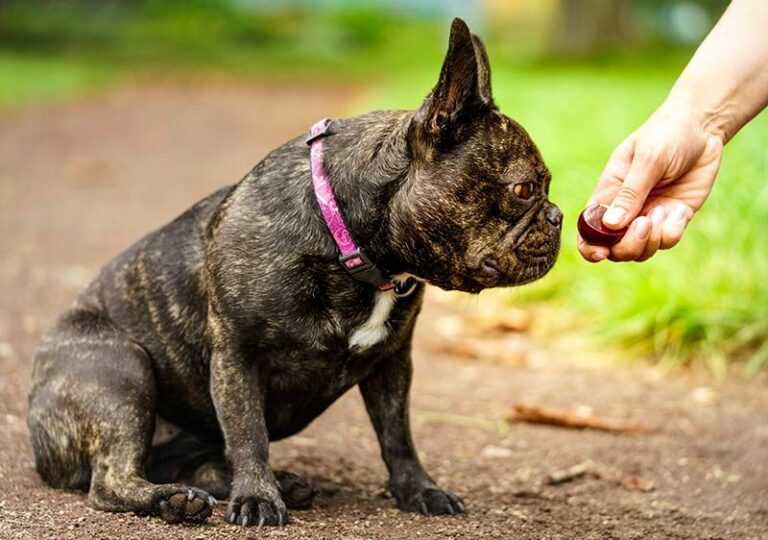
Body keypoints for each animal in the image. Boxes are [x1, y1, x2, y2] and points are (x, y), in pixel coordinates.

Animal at [27, 17, 560, 528]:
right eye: (524, 190)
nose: (557, 216)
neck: (355, 246)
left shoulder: (393, 364)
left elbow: (398, 435)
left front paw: (419, 489)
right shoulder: (237, 356)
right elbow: (248, 432)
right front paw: (257, 498)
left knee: (195, 462)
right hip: (120, 371)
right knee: (112, 479)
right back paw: (176, 500)